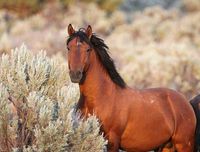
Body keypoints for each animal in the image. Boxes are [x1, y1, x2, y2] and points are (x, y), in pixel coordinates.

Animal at [66, 24, 200, 151]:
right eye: (68, 48)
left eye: (88, 49)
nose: (75, 74)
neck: (102, 97)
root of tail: (186, 102)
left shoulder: (112, 141)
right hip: (166, 147)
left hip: (184, 145)